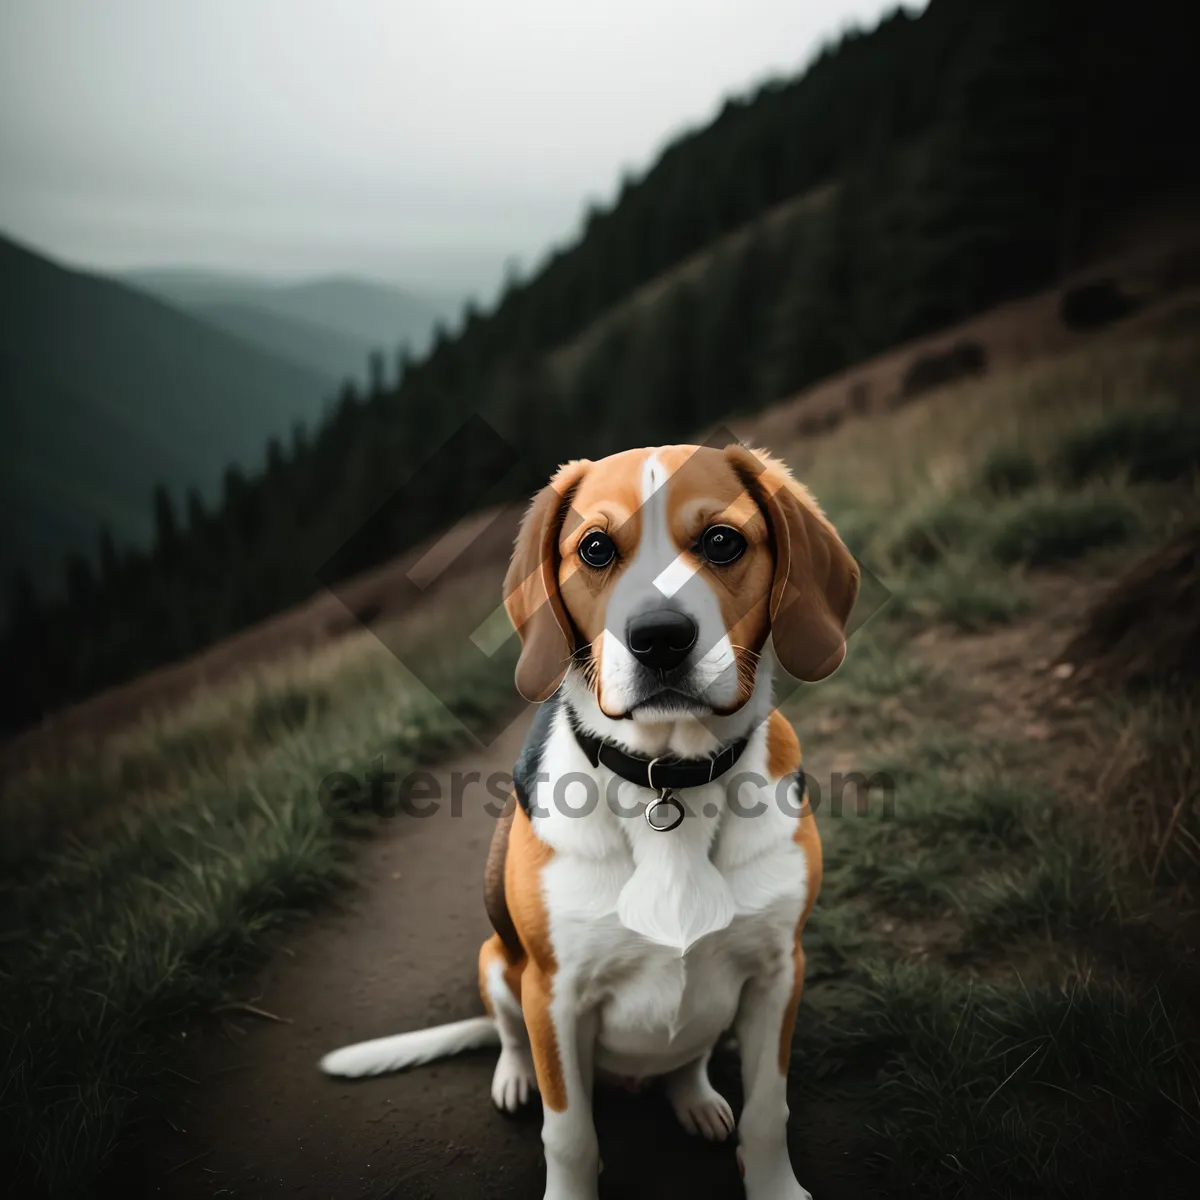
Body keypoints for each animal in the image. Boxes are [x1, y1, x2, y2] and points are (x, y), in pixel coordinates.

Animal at [324, 444, 859, 1200]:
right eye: (596, 548)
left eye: (722, 541)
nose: (660, 638)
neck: (667, 781)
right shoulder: (554, 995)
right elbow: (570, 1135)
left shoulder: (780, 971)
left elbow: (767, 1113)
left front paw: (776, 1187)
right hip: (496, 964)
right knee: (510, 1035)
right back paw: (515, 1076)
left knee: (685, 1061)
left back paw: (696, 1099)